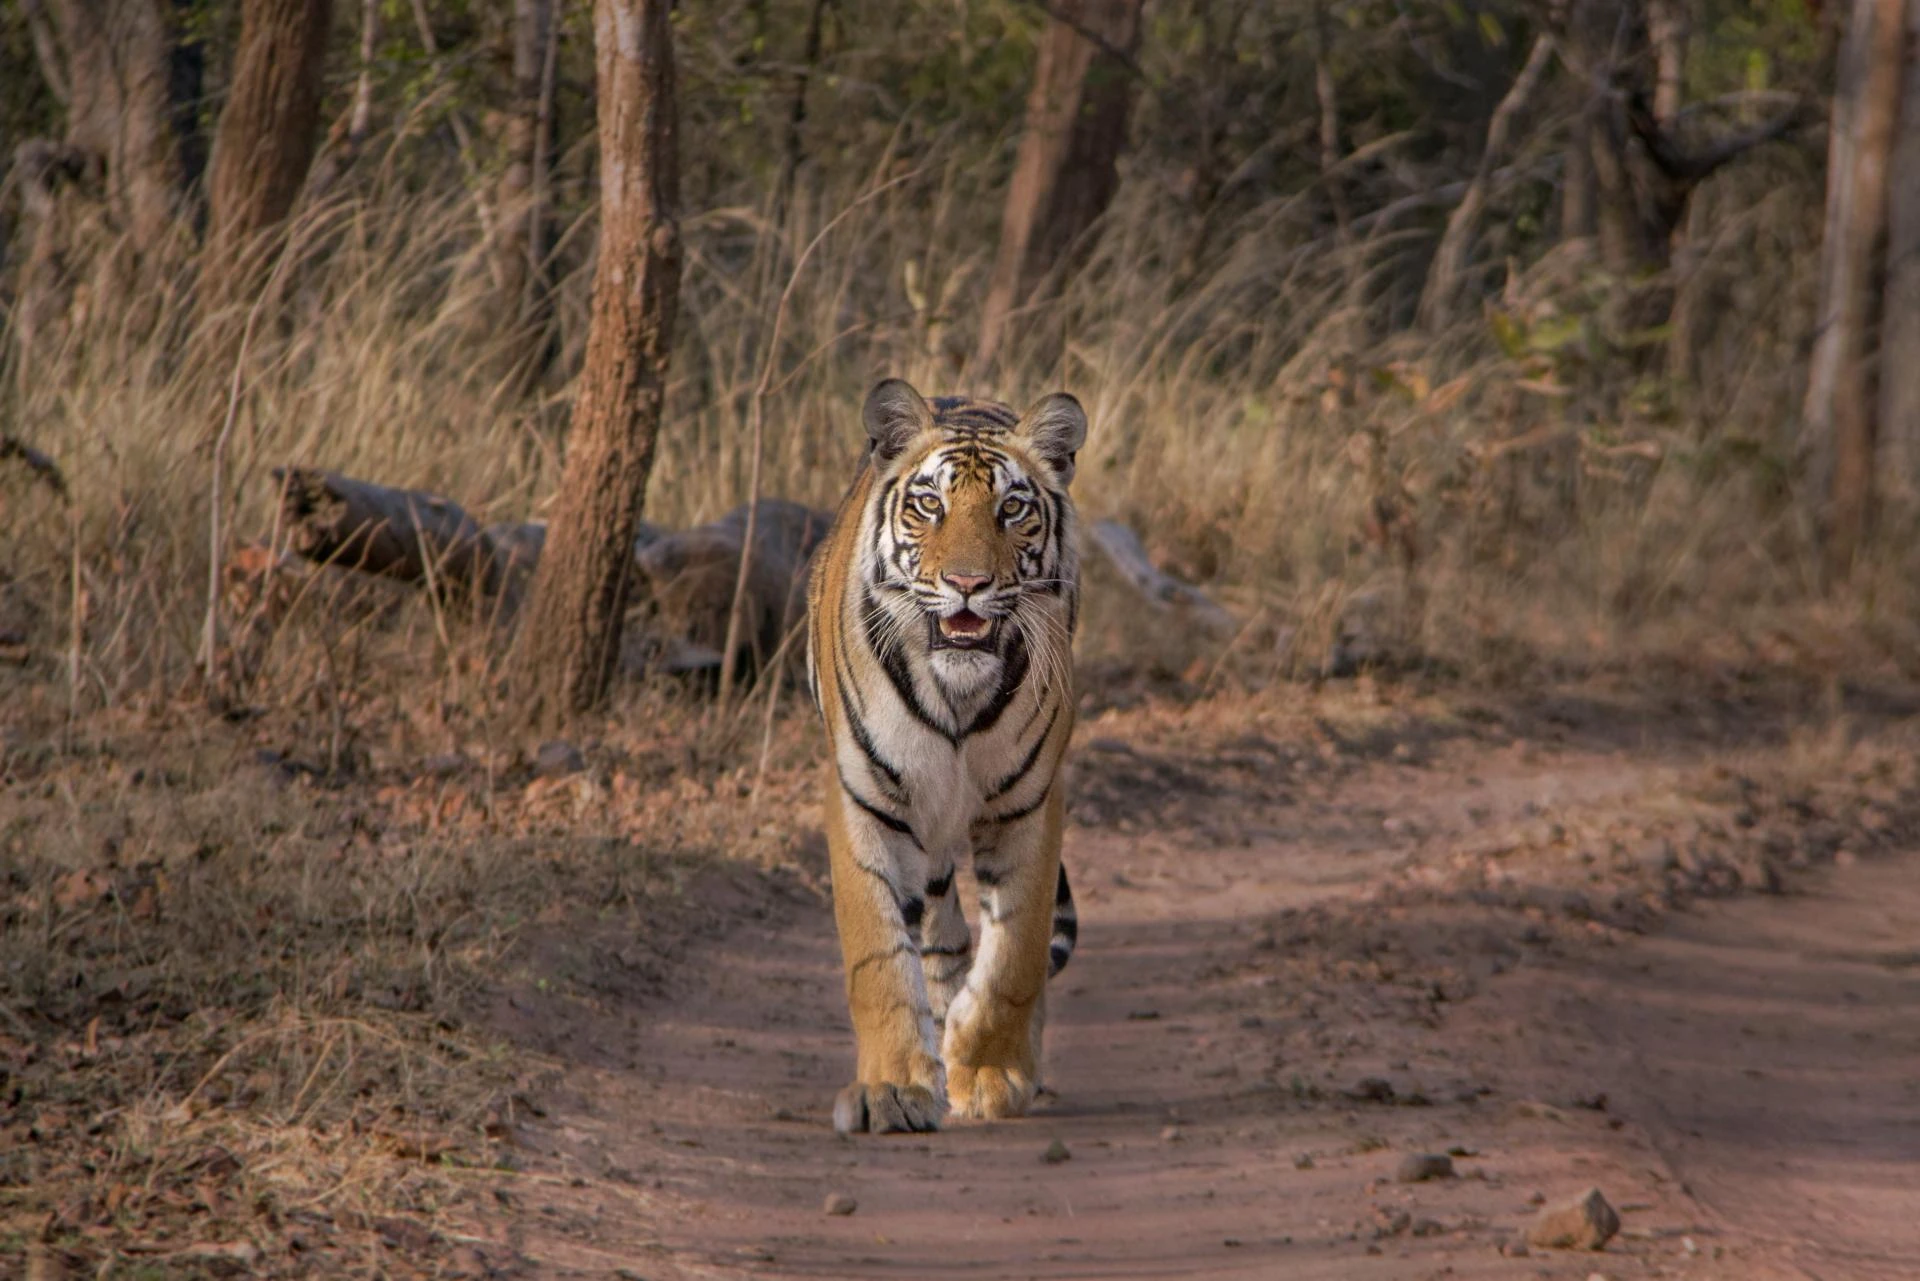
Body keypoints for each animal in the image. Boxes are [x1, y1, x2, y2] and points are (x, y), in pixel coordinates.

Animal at [805, 378, 1086, 1134]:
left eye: (1011, 508)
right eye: (929, 504)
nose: (966, 583)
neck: (957, 692)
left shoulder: (1030, 803)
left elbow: (1016, 952)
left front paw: (987, 1071)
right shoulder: (866, 798)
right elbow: (877, 955)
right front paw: (893, 1089)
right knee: (937, 928)